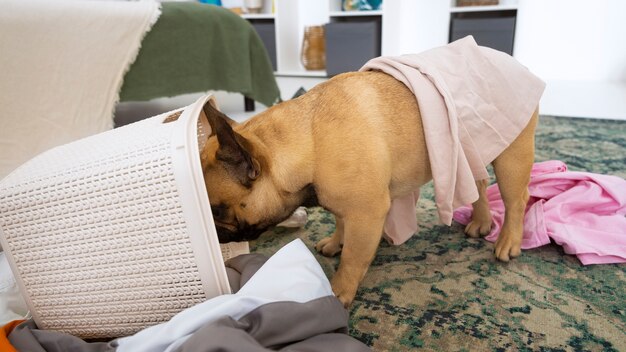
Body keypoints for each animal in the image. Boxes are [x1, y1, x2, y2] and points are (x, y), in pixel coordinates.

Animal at [199, 70, 536, 306]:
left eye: (216, 210)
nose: (213, 232)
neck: (309, 142)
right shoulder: (341, 201)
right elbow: (339, 221)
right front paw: (335, 242)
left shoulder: (367, 213)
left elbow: (353, 258)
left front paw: (337, 292)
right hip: (470, 149)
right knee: (479, 183)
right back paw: (481, 222)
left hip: (511, 155)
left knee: (517, 199)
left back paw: (508, 242)